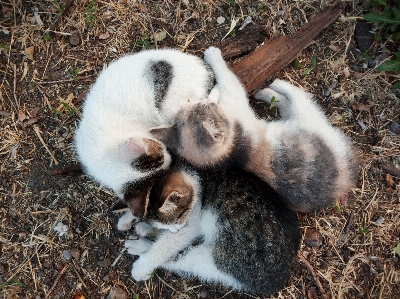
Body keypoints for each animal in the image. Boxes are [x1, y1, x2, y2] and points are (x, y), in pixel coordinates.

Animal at [153, 47, 360, 213]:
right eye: (204, 108)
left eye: (197, 106)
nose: (198, 102)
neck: (234, 152)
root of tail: (347, 179)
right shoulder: (234, 97)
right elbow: (226, 78)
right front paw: (213, 55)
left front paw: (212, 89)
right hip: (306, 114)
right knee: (292, 96)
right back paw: (272, 86)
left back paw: (266, 90)